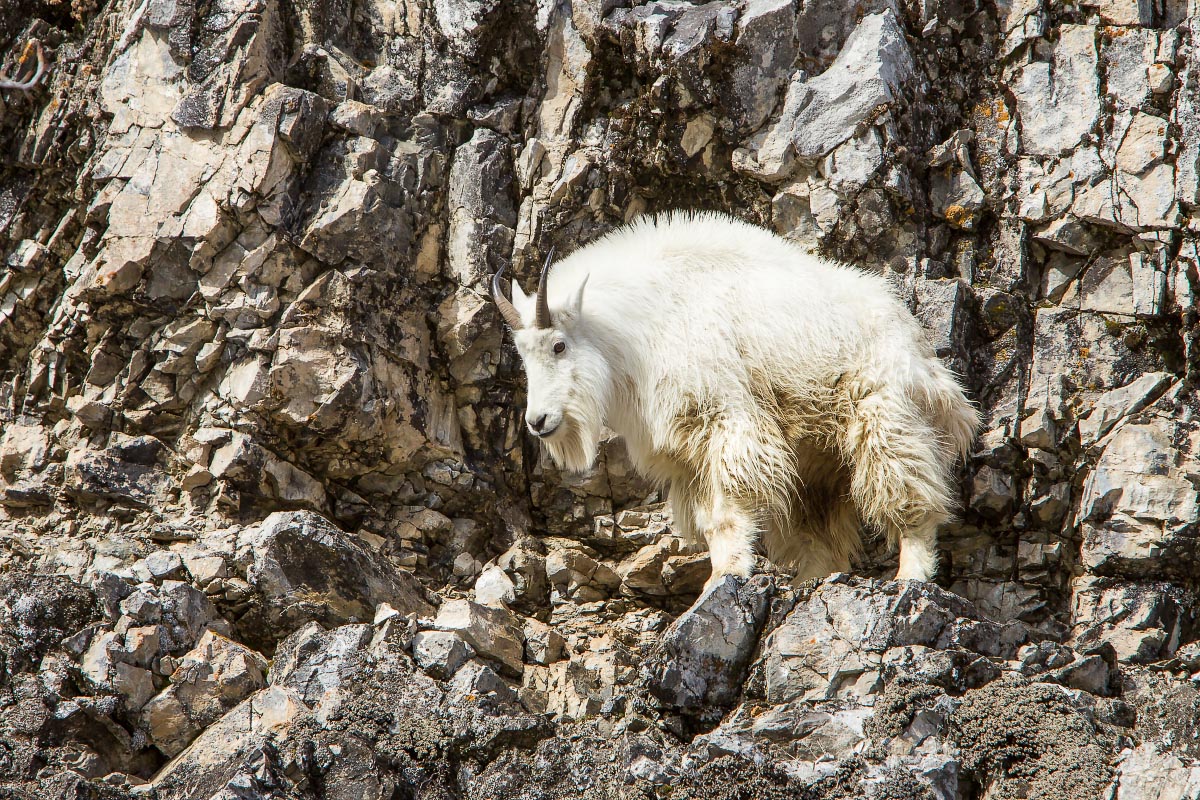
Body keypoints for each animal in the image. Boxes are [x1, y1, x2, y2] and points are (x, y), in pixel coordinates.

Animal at [492, 211, 979, 587]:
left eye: (559, 345)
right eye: (522, 354)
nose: (538, 421)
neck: (641, 327)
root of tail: (922, 352)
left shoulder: (726, 421)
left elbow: (729, 510)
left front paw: (725, 578)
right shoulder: (686, 457)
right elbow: (711, 523)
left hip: (884, 414)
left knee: (908, 492)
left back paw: (911, 575)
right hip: (818, 457)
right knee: (821, 534)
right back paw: (808, 583)